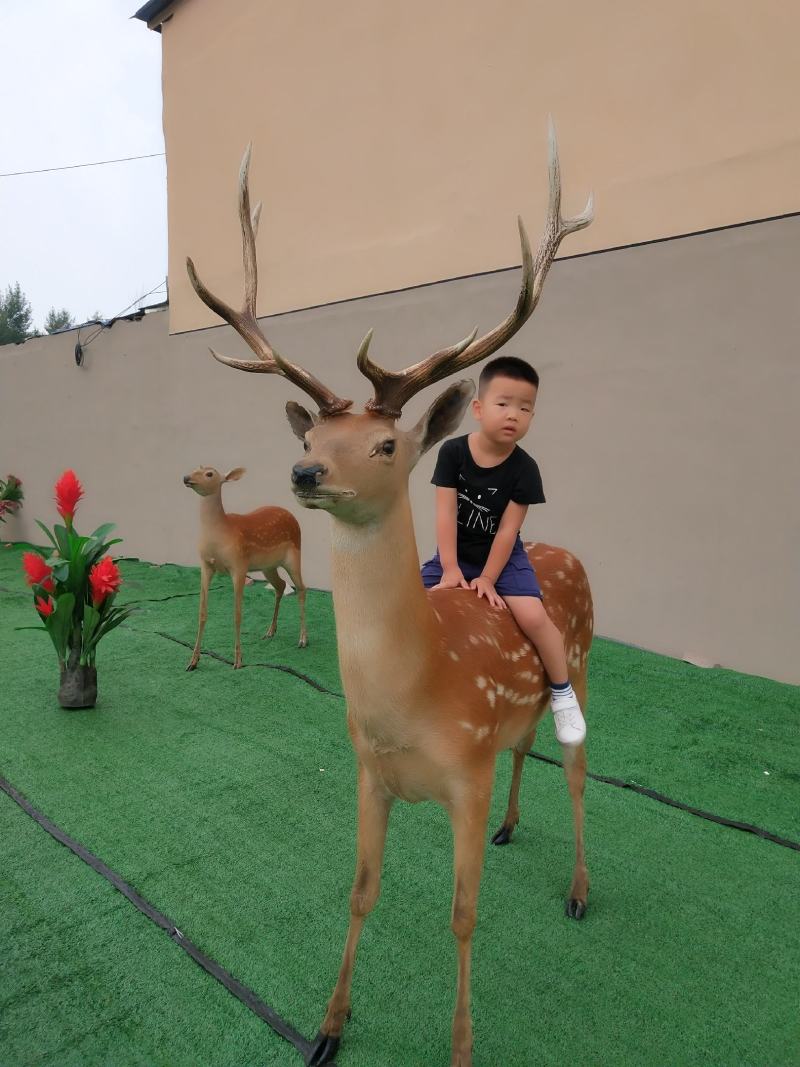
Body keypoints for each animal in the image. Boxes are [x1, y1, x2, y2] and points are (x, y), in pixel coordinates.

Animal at [182, 465, 308, 669]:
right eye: (194, 469)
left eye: (209, 474)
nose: (186, 478)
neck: (220, 535)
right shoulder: (205, 565)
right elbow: (202, 612)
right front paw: (192, 661)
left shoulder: (239, 565)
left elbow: (237, 614)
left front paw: (238, 660)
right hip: (268, 566)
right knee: (280, 585)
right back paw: (270, 631)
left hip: (294, 554)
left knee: (302, 588)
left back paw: (303, 639)